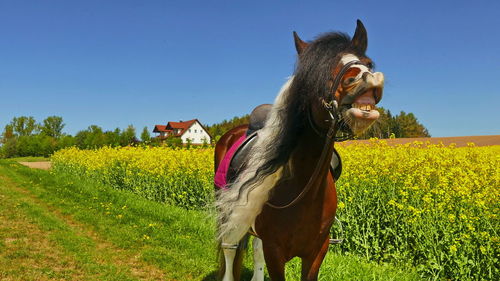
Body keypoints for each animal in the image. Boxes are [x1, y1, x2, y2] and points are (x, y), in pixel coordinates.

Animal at [214, 20, 382, 280]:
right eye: (317, 72)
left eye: (368, 63)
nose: (365, 80)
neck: (304, 189)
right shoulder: (275, 251)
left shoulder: (317, 250)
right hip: (227, 211)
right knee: (229, 249)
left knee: (255, 249)